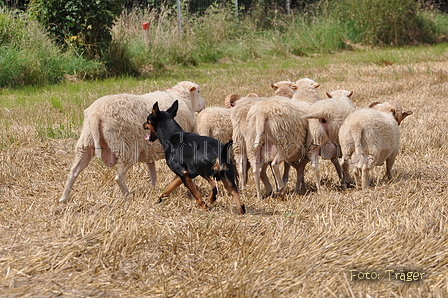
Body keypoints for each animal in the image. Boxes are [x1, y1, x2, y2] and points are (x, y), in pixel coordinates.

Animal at [59, 81, 205, 203]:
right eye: (198, 91)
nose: (203, 105)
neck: (184, 100)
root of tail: (96, 114)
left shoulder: (149, 151)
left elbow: (152, 171)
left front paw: (154, 189)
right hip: (126, 148)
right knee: (119, 177)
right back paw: (128, 196)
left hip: (85, 144)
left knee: (74, 171)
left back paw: (64, 199)